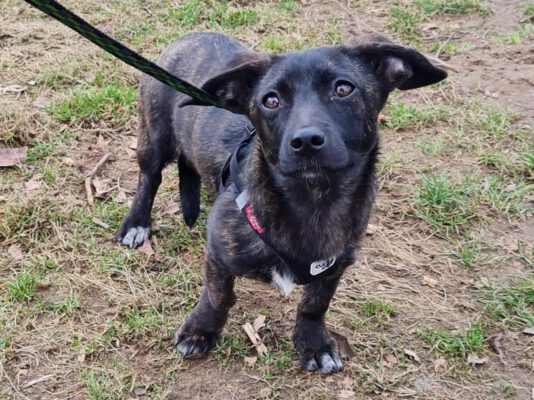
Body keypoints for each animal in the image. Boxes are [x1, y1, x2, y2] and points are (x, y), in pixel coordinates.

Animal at [117, 32, 446, 373]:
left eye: (344, 89)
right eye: (271, 100)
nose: (305, 141)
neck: (314, 199)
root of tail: (193, 35)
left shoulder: (335, 265)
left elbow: (315, 305)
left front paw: (314, 343)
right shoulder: (218, 254)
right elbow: (218, 295)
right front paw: (200, 330)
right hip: (154, 138)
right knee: (149, 178)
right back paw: (137, 224)